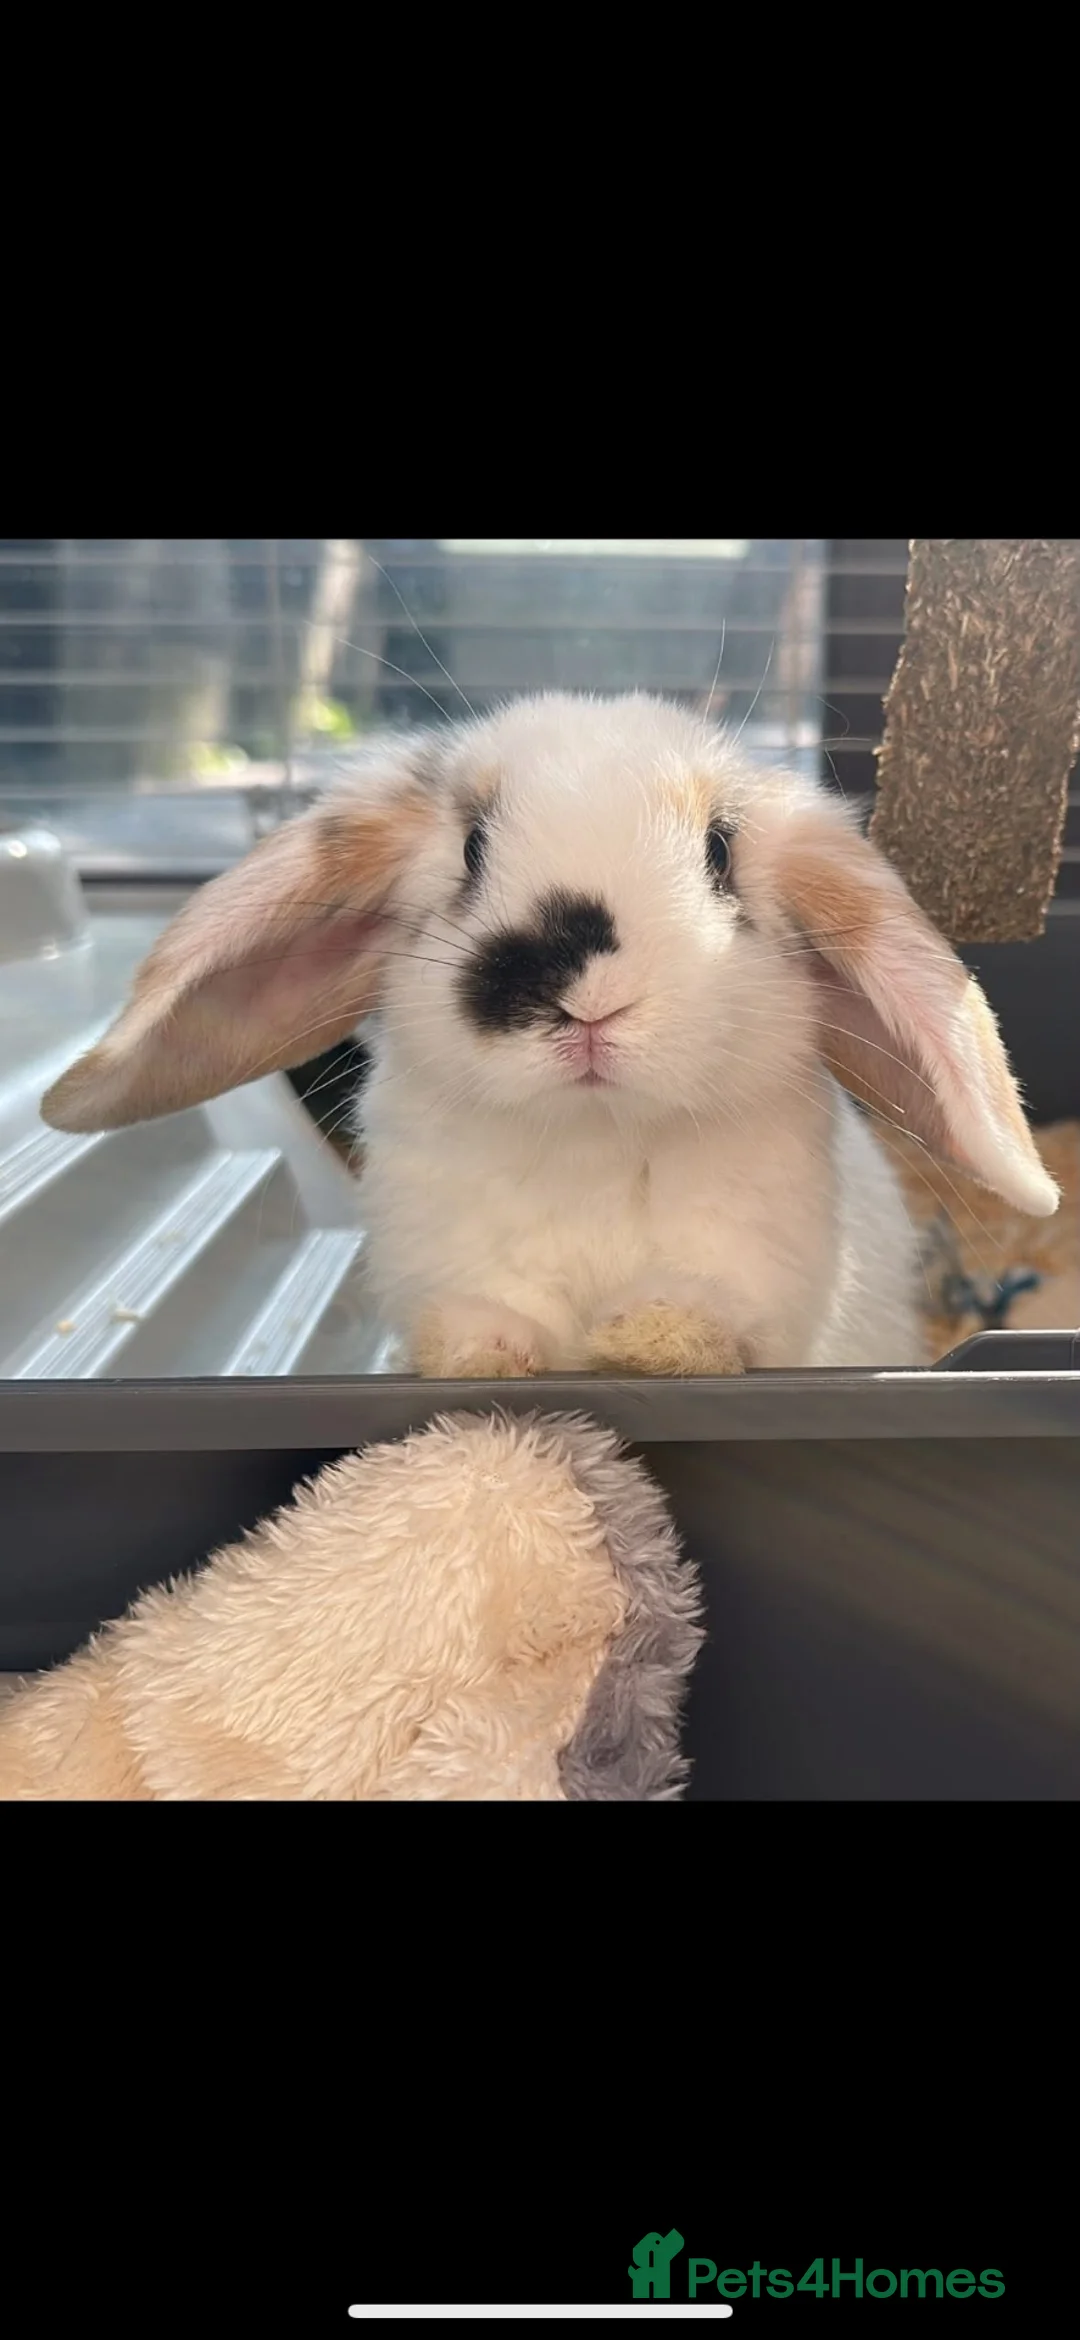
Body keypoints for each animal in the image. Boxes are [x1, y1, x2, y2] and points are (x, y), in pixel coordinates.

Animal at [41, 692, 1059, 1377]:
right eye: (472, 847)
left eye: (720, 851)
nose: (584, 997)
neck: (593, 1138)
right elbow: (486, 1316)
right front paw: (484, 1348)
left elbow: (717, 1319)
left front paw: (651, 1336)